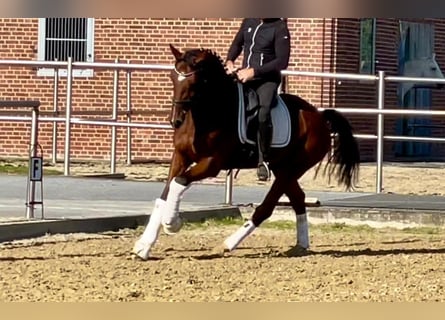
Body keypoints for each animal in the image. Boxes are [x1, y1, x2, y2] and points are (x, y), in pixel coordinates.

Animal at [133, 44, 360, 260]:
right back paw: (300, 246)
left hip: (293, 168)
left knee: (266, 207)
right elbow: (165, 193)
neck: (209, 113)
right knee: (298, 198)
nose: (175, 120)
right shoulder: (180, 157)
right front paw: (144, 246)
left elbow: (179, 182)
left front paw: (172, 223)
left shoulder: (212, 163)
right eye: (173, 78)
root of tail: (319, 116)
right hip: (282, 167)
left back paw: (228, 244)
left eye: (194, 81)